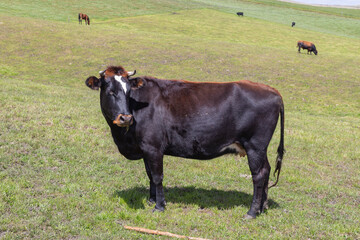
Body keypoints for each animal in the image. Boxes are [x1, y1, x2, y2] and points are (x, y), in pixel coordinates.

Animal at [84, 65, 284, 219]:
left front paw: (159, 206)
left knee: (258, 175)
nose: (125, 118)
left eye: (128, 92)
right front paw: (151, 199)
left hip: (255, 146)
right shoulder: (145, 149)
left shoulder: (153, 147)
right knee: (266, 170)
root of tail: (272, 90)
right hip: (260, 149)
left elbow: (157, 176)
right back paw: (263, 207)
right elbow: (149, 174)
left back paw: (252, 212)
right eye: (109, 90)